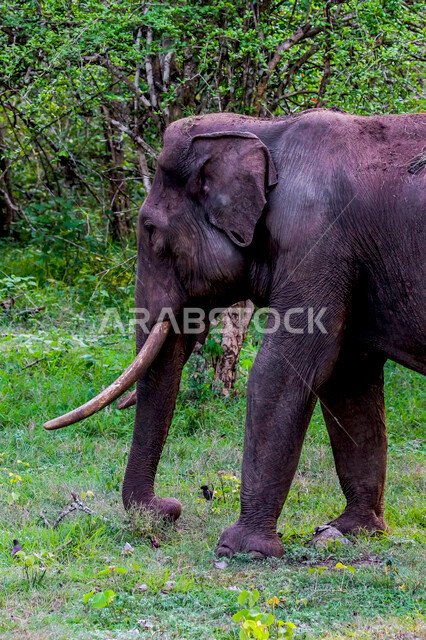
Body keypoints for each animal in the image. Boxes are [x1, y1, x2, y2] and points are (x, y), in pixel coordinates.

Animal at [44, 109, 426, 559]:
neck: (264, 129)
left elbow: (281, 371)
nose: (169, 509)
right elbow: (349, 379)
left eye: (150, 229)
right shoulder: (344, 261)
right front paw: (350, 531)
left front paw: (240, 549)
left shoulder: (318, 244)